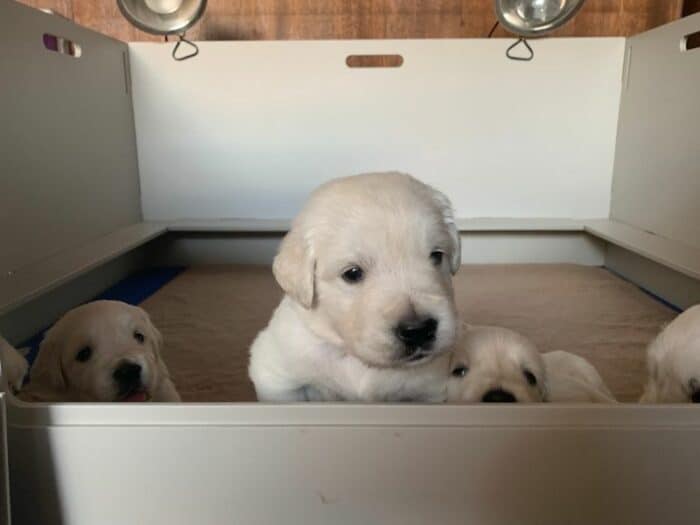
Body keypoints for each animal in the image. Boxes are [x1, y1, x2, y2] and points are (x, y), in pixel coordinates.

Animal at [249, 172, 462, 402]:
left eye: (436, 256)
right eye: (352, 274)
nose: (419, 330)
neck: (355, 359)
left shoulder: (428, 390)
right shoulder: (277, 375)